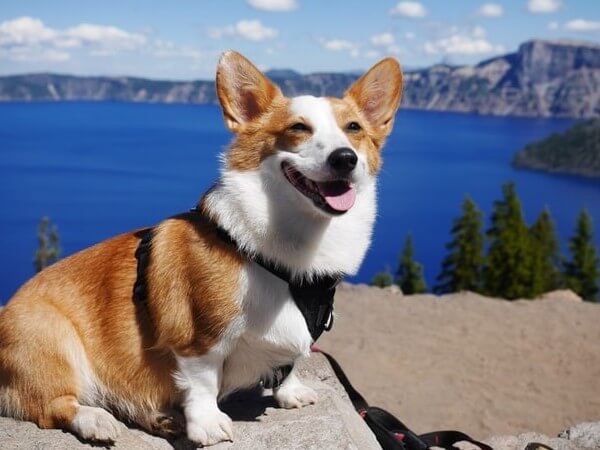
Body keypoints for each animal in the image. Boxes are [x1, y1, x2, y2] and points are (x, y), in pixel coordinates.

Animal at [1, 51, 404, 444]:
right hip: (51, 337)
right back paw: (96, 420)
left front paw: (290, 393)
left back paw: (160, 419)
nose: (345, 158)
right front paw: (208, 426)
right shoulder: (199, 339)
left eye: (354, 128)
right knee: (53, 405)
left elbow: (291, 363)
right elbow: (203, 382)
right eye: (298, 128)